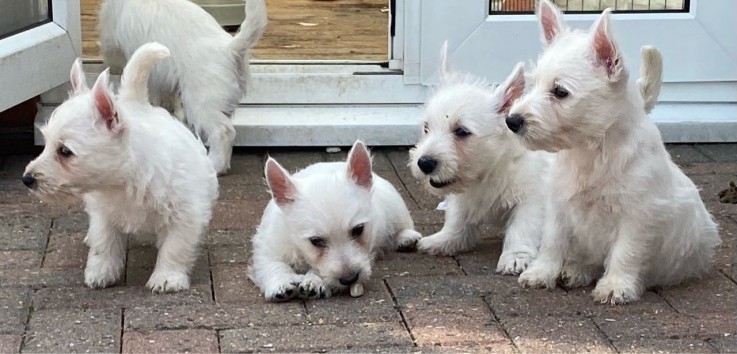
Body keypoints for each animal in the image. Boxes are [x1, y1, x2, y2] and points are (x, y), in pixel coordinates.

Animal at [22, 42, 218, 294]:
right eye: (45, 143)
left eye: (65, 151)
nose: (27, 178)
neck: (124, 181)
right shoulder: (104, 214)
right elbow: (104, 243)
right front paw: (101, 272)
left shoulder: (185, 215)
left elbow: (174, 247)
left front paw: (167, 277)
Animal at [98, 0, 268, 174]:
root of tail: (231, 48)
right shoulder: (162, 76)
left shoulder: (112, 40)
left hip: (202, 103)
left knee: (223, 132)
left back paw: (215, 164)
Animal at [249, 141, 420, 302]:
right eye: (315, 241)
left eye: (358, 230)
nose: (350, 279)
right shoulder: (267, 247)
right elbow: (273, 264)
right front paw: (281, 283)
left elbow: (317, 270)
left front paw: (314, 281)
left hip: (395, 206)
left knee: (402, 225)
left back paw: (406, 238)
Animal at [408, 42, 552, 276]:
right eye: (426, 127)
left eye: (461, 131)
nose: (424, 163)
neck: (491, 170)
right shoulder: (462, 197)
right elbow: (457, 220)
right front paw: (444, 240)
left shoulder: (531, 199)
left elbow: (521, 229)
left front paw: (515, 257)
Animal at [506, 0, 720, 304]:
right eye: (532, 84)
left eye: (560, 91)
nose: (512, 121)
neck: (591, 150)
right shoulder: (558, 204)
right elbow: (552, 241)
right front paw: (541, 272)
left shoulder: (638, 214)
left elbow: (625, 251)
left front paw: (616, 286)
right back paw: (574, 270)